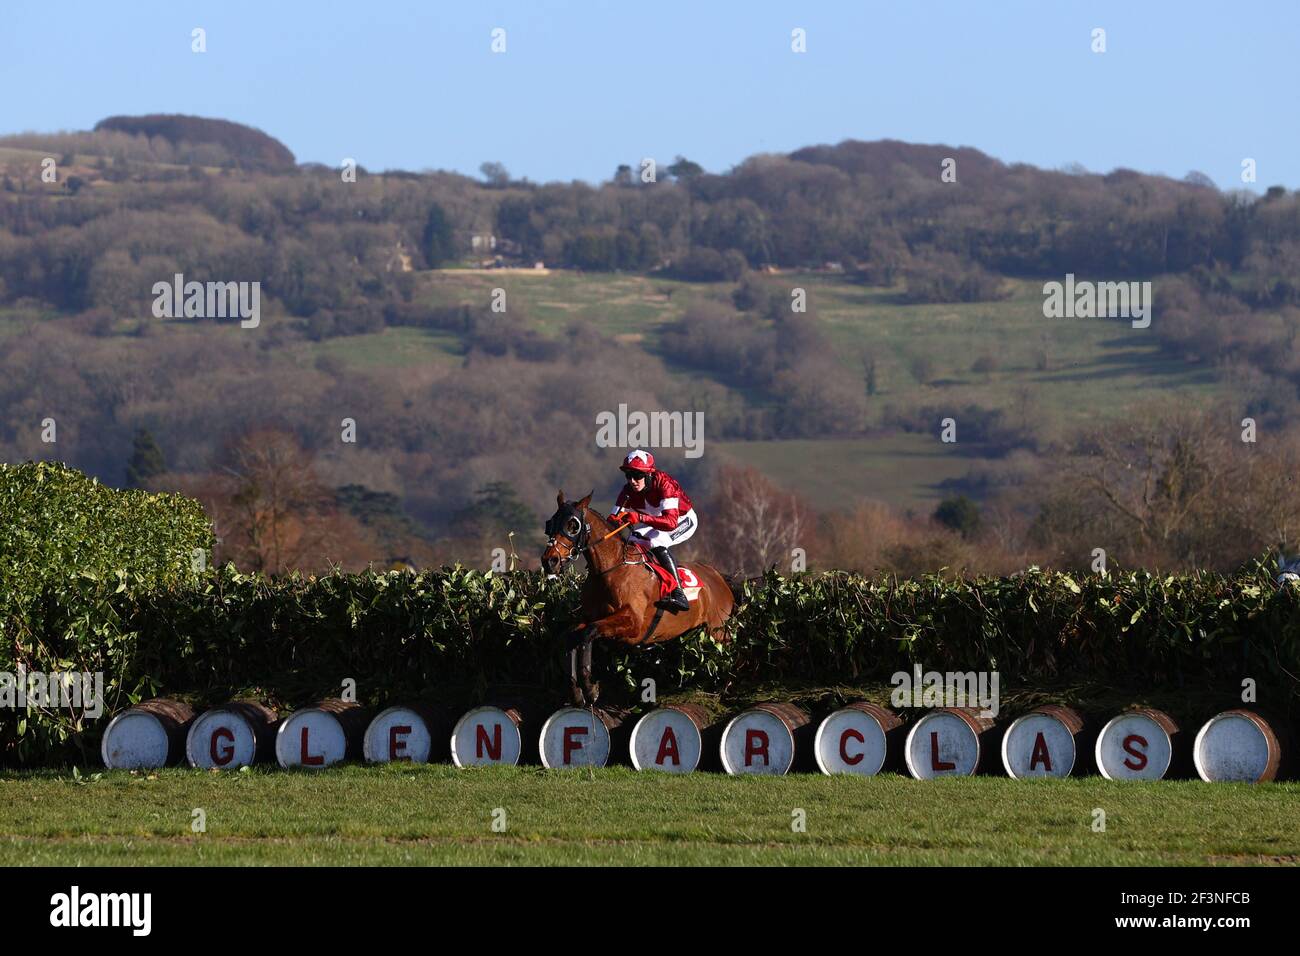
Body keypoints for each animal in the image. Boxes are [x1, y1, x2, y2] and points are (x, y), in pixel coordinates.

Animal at [543, 494, 738, 702]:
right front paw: (576, 690)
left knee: (729, 654)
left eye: (573, 525)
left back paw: (725, 689)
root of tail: (719, 577)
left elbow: (588, 632)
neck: (610, 568)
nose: (549, 561)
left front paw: (589, 687)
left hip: (717, 631)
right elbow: (570, 635)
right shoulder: (591, 616)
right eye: (551, 523)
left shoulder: (633, 622)